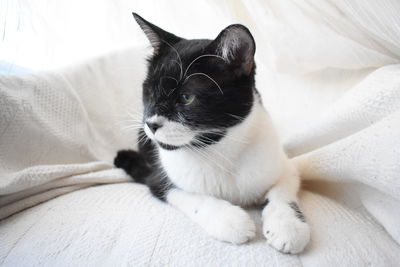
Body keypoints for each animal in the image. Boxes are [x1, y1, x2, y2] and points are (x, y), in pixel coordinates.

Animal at [114, 13, 310, 255]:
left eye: (186, 97)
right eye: (149, 92)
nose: (151, 124)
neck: (219, 150)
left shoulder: (285, 167)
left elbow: (281, 193)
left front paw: (288, 226)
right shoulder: (158, 178)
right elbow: (191, 197)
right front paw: (231, 221)